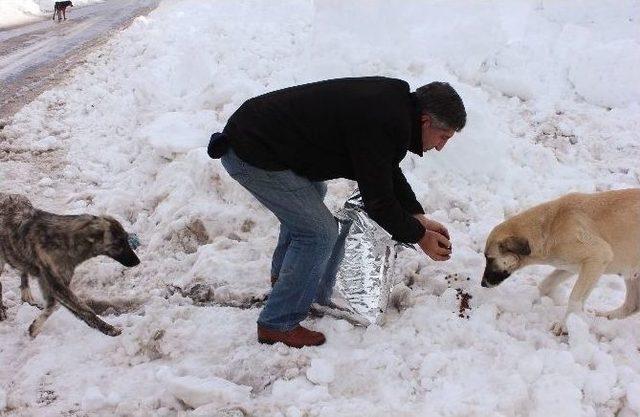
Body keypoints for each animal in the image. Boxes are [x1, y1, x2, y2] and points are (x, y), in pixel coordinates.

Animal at [0, 191, 139, 334]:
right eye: (119, 243)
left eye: (126, 239)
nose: (137, 261)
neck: (67, 241)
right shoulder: (57, 286)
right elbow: (84, 310)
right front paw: (110, 329)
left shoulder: (58, 284)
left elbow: (54, 306)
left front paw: (34, 327)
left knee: (23, 271)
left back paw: (26, 294)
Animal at [482, 188, 636, 334]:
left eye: (489, 258)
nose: (482, 284)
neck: (550, 227)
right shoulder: (569, 266)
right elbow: (547, 282)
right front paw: (529, 297)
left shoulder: (597, 257)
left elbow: (574, 298)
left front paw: (566, 324)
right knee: (632, 305)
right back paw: (606, 316)